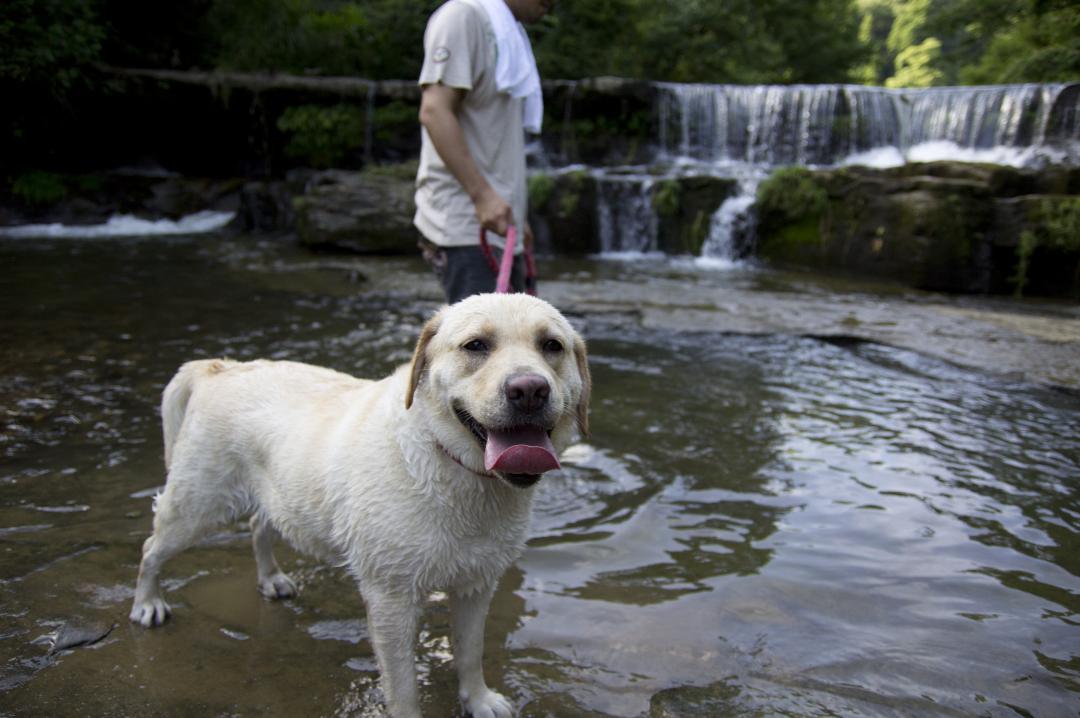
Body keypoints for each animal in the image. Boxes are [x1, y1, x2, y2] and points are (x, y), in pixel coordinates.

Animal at [130, 293, 596, 716]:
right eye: (476, 345)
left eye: (551, 345)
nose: (529, 389)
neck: (455, 469)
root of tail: (221, 367)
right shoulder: (391, 598)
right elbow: (404, 686)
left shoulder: (476, 585)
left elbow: (469, 651)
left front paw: (478, 701)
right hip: (196, 505)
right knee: (151, 549)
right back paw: (147, 604)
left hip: (275, 492)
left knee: (258, 526)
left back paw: (272, 579)